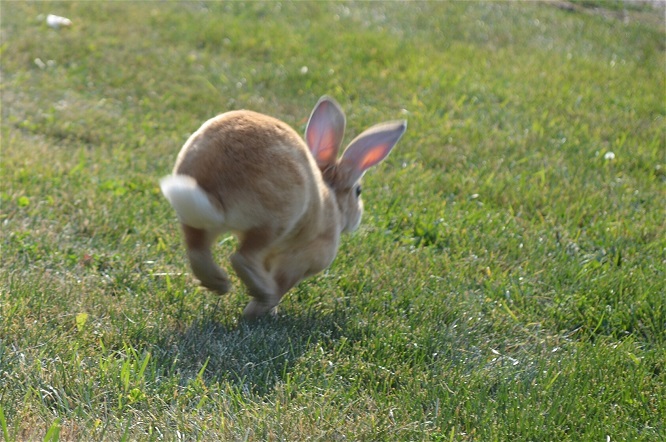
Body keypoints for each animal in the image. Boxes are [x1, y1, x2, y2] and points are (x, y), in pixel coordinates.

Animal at [161, 96, 404, 318]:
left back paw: (220, 284)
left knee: (198, 250)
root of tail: (213, 186)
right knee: (242, 258)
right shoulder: (303, 258)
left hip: (202, 221)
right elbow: (283, 283)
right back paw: (262, 294)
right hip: (276, 220)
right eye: (358, 191)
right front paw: (259, 311)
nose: (358, 217)